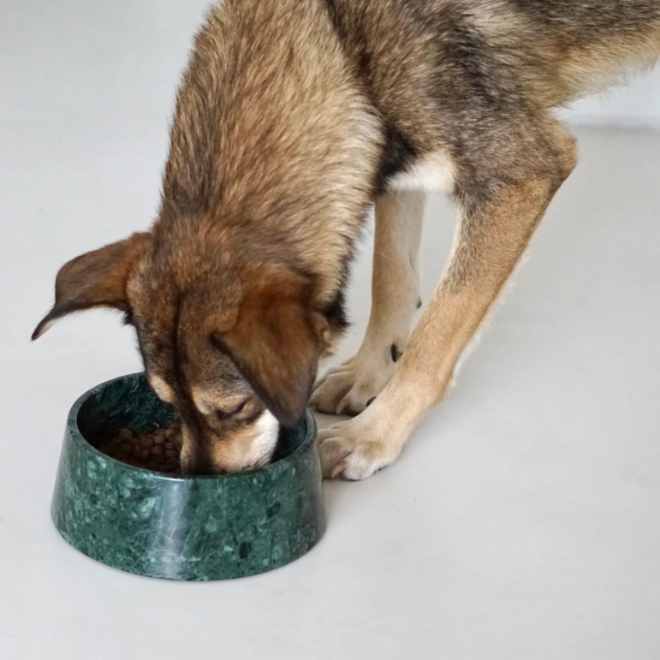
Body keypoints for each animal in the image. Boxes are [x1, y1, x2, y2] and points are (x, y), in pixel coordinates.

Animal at [32, 0, 660, 476]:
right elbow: (391, 281)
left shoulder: (521, 176)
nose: (199, 484)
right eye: (168, 407)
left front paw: (372, 436)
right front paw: (367, 374)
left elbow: (434, 338)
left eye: (234, 410)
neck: (338, 38)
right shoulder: (395, 166)